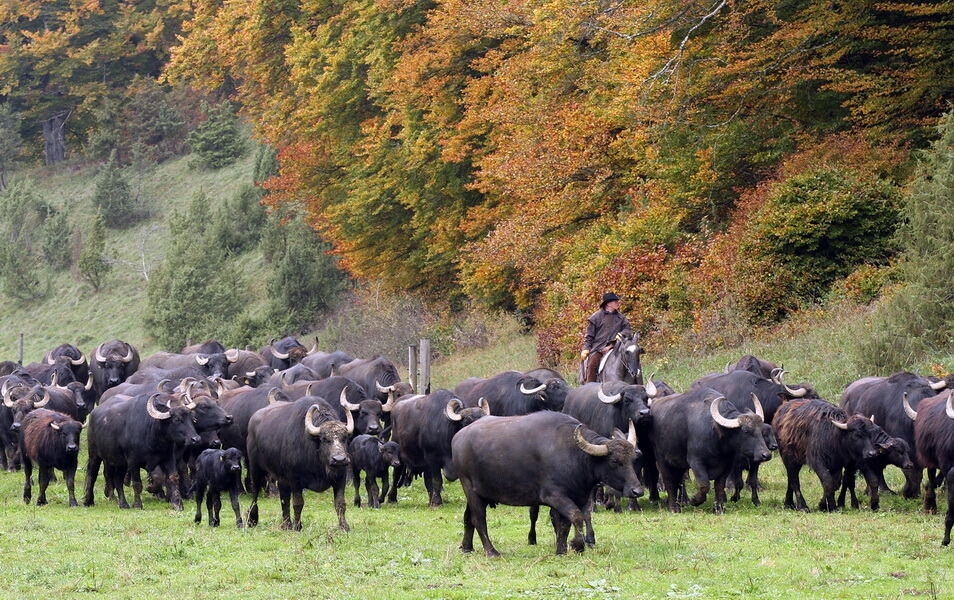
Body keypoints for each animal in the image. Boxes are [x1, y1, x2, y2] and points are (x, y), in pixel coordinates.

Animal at [247, 398, 356, 528]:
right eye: (324, 439)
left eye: (344, 438)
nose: (339, 459)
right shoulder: (295, 480)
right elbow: (298, 503)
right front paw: (298, 526)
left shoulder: (340, 478)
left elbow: (340, 503)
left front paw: (344, 526)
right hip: (255, 468)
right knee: (255, 493)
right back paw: (252, 519)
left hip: (282, 478)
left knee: (284, 498)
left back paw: (286, 524)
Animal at [448, 412, 636, 556]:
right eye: (614, 461)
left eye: (632, 459)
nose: (637, 490)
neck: (575, 455)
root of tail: (458, 438)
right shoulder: (554, 496)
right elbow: (576, 516)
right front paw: (577, 545)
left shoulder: (577, 497)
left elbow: (567, 522)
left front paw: (561, 550)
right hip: (469, 488)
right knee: (479, 519)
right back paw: (491, 551)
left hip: (479, 493)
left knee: (468, 517)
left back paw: (467, 547)